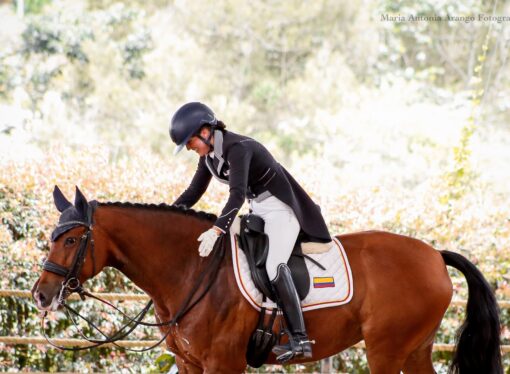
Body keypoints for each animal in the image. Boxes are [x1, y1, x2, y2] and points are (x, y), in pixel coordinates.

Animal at [30, 187, 502, 374]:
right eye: (52, 236)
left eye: (70, 239)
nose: (41, 295)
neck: (191, 270)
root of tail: (434, 255)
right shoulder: (190, 363)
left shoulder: (223, 363)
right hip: (415, 348)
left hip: (385, 350)